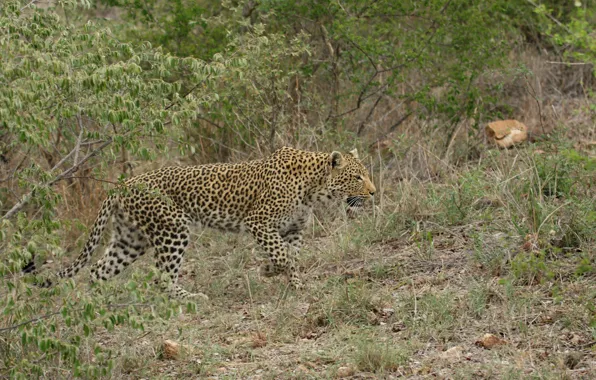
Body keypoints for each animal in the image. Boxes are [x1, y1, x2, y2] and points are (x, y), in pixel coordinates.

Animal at [26, 147, 378, 298]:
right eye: (357, 176)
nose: (374, 192)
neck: (313, 187)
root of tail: (123, 185)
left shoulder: (291, 230)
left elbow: (290, 255)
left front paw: (292, 283)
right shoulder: (259, 222)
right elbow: (283, 255)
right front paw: (273, 271)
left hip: (130, 239)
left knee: (99, 269)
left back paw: (99, 304)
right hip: (172, 231)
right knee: (161, 277)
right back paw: (190, 299)